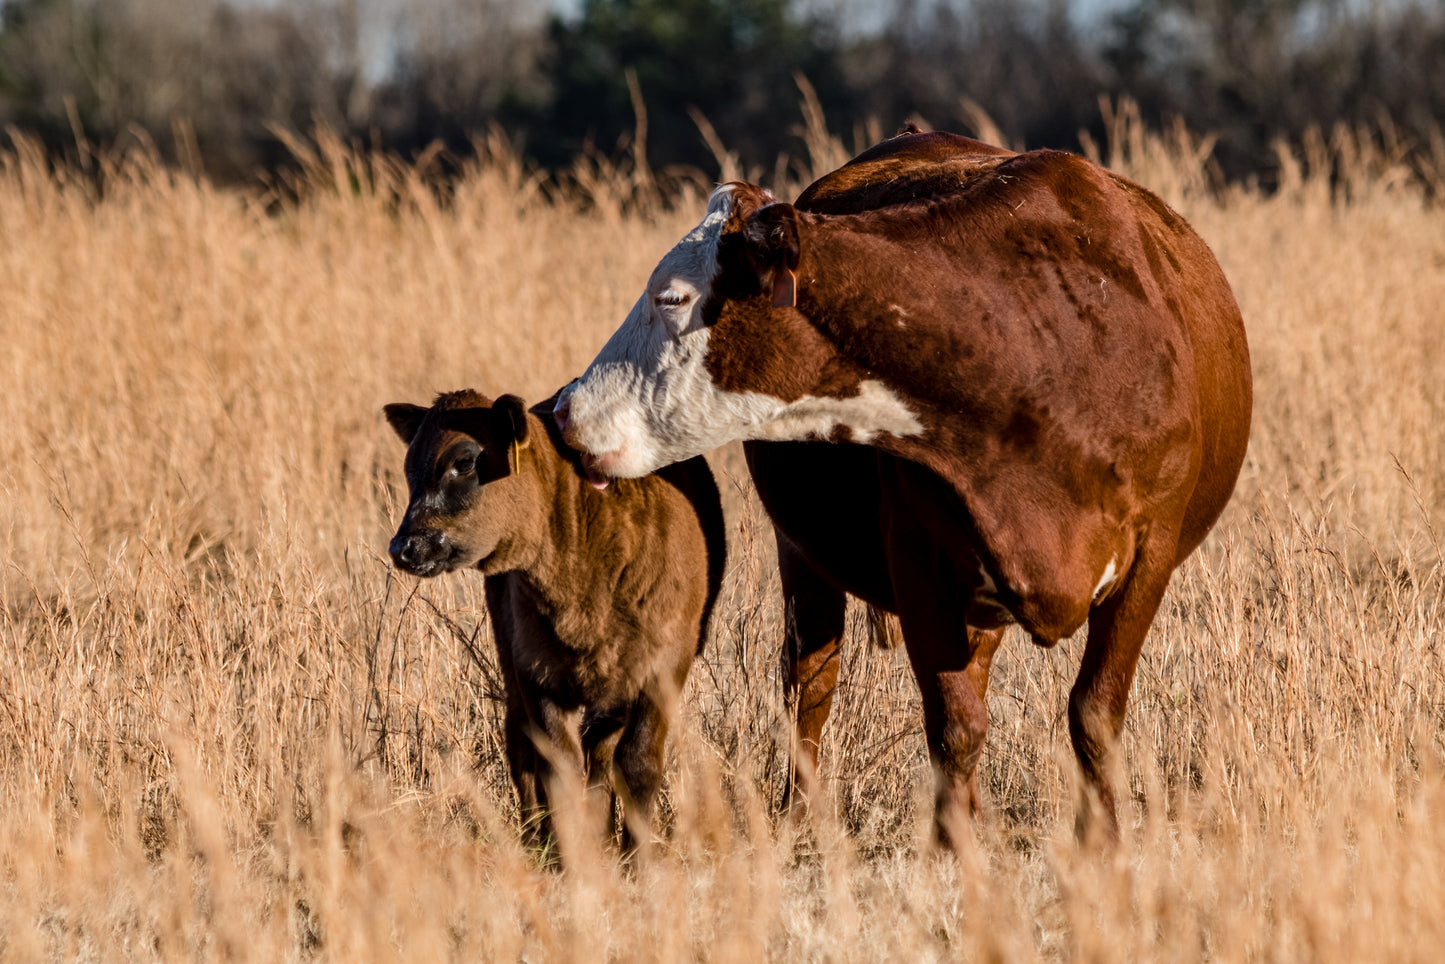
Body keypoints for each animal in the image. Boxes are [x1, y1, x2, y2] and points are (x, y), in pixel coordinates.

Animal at [384, 387, 728, 855]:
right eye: (410, 468)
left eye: (465, 462)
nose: (404, 546)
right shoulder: (536, 670)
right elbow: (557, 769)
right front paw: (572, 858)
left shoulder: (664, 667)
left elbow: (638, 764)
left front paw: (637, 862)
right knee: (523, 749)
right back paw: (537, 844)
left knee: (601, 756)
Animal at [551, 127, 1254, 844]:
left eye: (670, 298)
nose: (564, 410)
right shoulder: (918, 558)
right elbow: (954, 725)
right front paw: (954, 849)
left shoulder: (1151, 552)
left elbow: (1094, 714)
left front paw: (1100, 843)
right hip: (805, 555)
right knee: (809, 683)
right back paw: (801, 818)